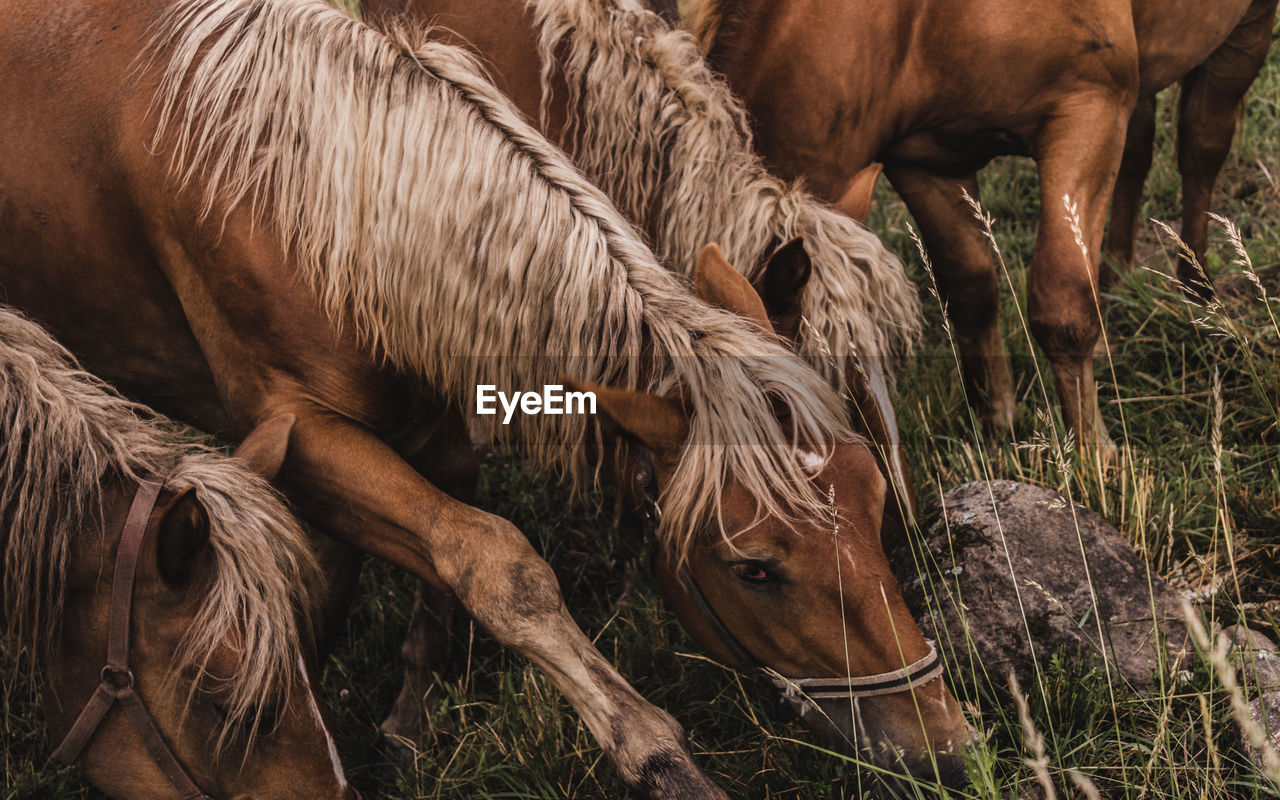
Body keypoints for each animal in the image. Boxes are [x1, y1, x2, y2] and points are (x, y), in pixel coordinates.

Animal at [691, 0, 1280, 450]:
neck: (916, 20)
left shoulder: (1088, 112)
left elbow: (1062, 305)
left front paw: (1096, 456)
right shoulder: (926, 161)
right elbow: (970, 288)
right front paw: (998, 424)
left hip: (1245, 30)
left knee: (1201, 148)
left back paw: (1198, 292)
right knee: (1140, 142)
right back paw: (1114, 280)